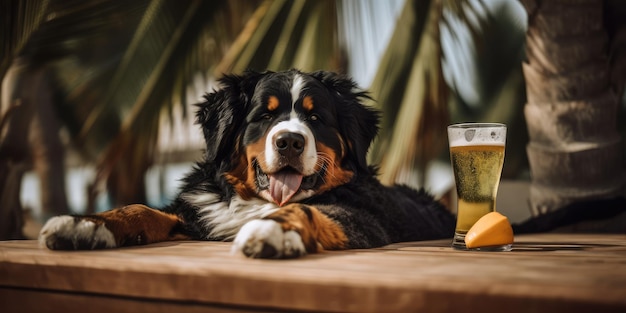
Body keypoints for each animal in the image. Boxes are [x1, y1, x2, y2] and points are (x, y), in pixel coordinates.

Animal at [39, 69, 454, 258]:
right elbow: (139, 209)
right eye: (264, 116)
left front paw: (272, 231)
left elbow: (307, 211)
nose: (290, 141)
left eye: (315, 117)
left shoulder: (360, 218)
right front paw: (84, 225)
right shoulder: (197, 215)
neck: (257, 201)